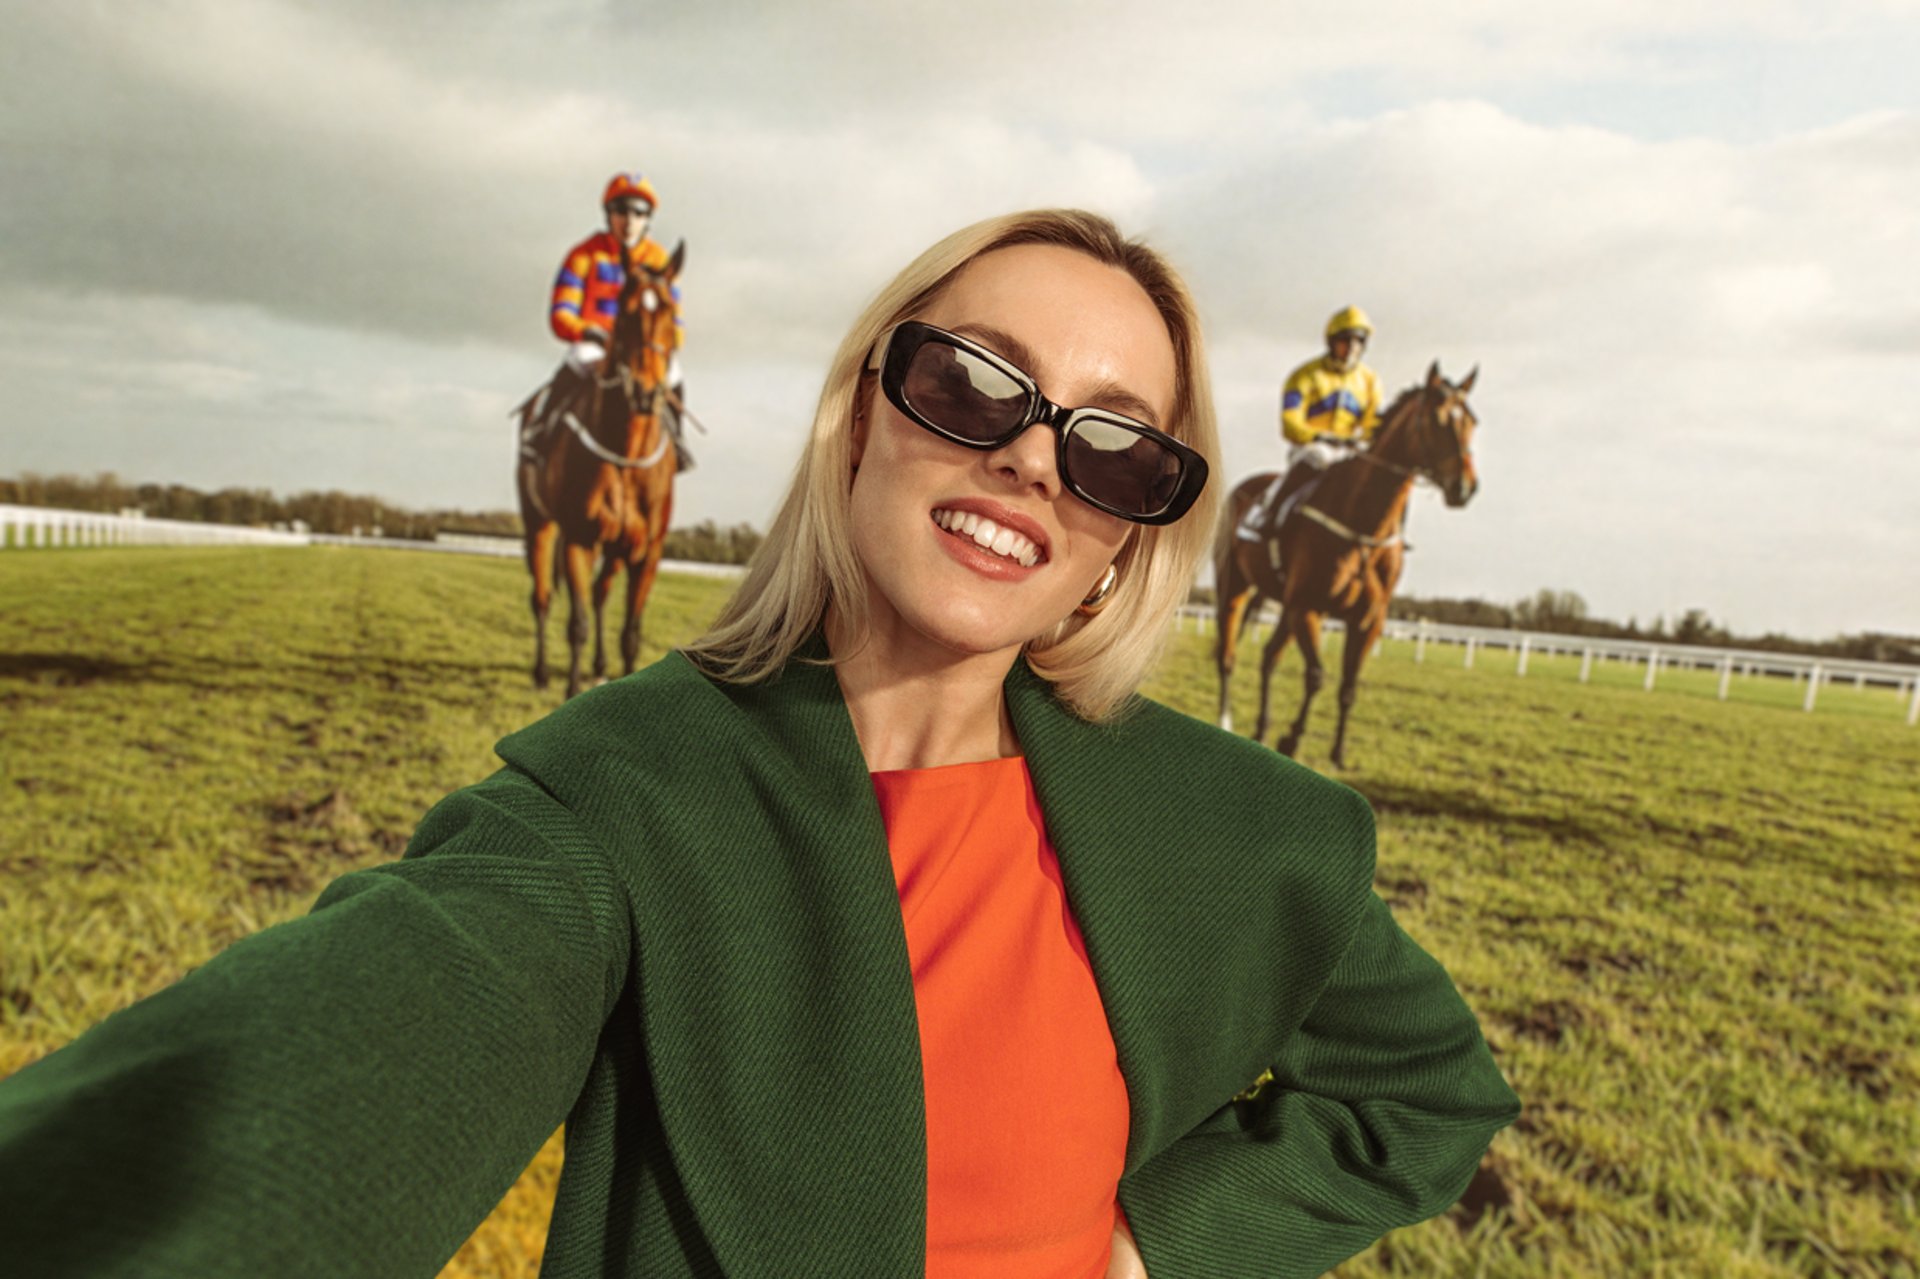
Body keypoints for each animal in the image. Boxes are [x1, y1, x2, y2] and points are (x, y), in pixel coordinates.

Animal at [516, 241, 685, 698]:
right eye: (624, 313)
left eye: (669, 314)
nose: (645, 392)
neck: (626, 455)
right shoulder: (580, 538)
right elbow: (576, 623)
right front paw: (571, 688)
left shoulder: (648, 551)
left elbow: (630, 631)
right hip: (539, 524)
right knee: (542, 596)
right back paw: (542, 672)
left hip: (617, 548)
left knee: (599, 594)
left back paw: (600, 666)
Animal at [1213, 361, 1480, 767]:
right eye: (1437, 420)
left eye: (1472, 421)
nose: (1464, 487)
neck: (1363, 528)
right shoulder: (1308, 606)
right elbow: (1316, 676)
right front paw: (1292, 739)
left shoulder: (1367, 619)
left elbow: (1348, 686)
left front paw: (1337, 752)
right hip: (1234, 587)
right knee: (1227, 655)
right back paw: (1226, 719)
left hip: (1285, 607)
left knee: (1269, 657)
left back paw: (1261, 728)